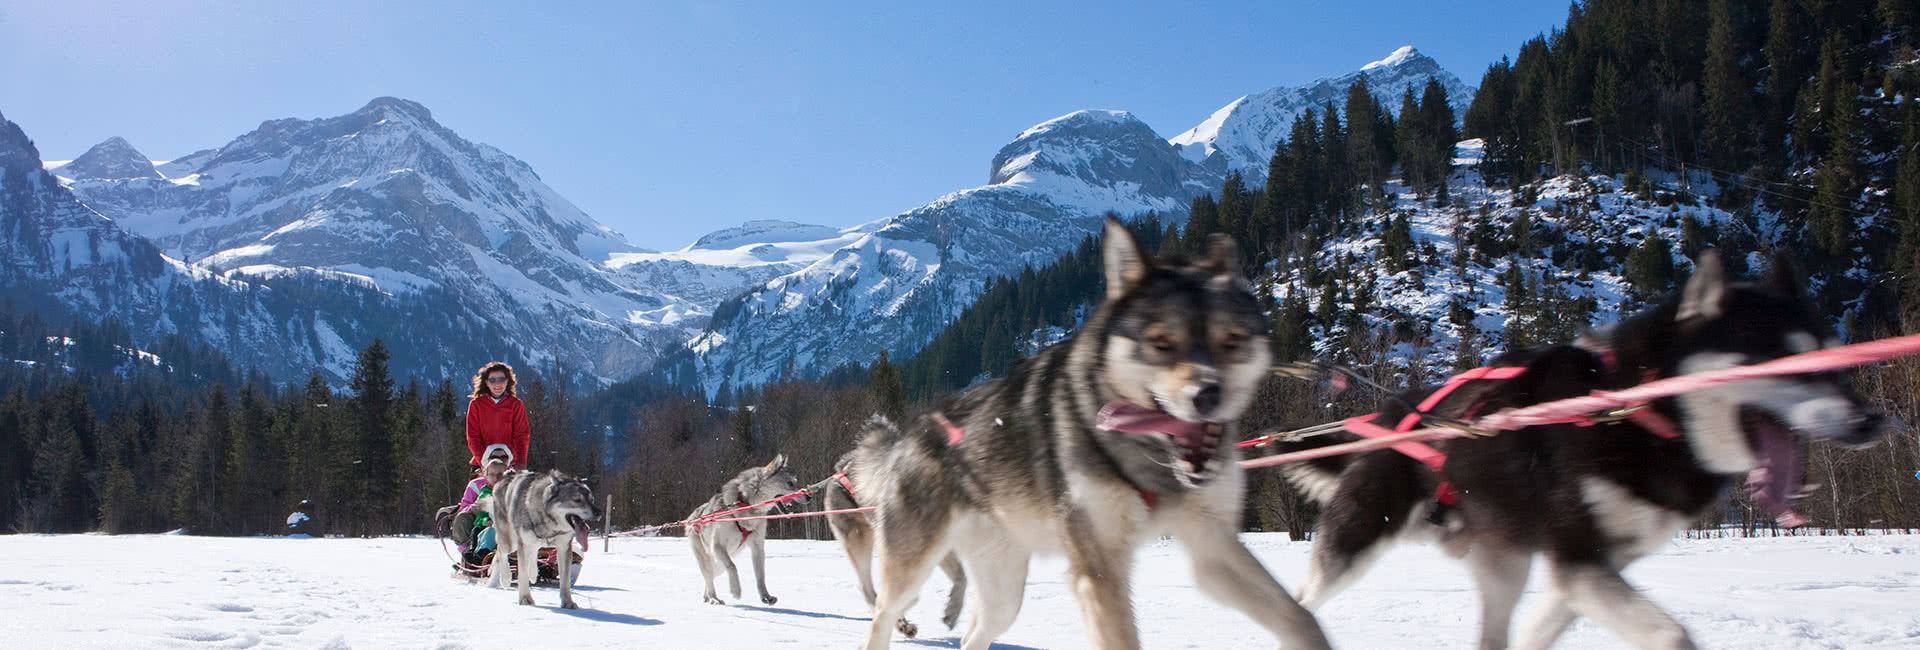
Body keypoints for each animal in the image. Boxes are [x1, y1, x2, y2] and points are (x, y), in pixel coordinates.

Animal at [480, 471, 599, 609]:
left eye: (592, 500)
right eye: (577, 500)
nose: (599, 512)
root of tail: (506, 476)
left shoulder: (564, 547)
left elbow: (565, 580)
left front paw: (567, 601)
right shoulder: (523, 544)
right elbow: (522, 574)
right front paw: (525, 598)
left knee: (533, 551)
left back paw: (533, 573)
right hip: (510, 541)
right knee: (500, 552)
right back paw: (505, 578)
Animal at [691, 456, 810, 609]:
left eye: (796, 482)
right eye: (790, 483)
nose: (809, 497)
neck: (746, 504)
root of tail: (692, 516)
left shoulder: (757, 548)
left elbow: (760, 576)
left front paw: (766, 597)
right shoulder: (717, 546)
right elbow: (733, 567)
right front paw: (736, 591)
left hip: (719, 564)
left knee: (710, 578)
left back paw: (707, 597)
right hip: (710, 558)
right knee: (709, 577)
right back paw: (714, 598)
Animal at [860, 220, 1328, 650]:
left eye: (1231, 339)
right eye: (1161, 343)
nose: (1208, 394)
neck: (1151, 461)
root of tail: (909, 436)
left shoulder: (1212, 547)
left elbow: (1301, 618)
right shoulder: (1099, 569)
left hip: (1003, 588)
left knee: (976, 633)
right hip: (913, 566)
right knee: (882, 617)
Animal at [1282, 251, 1881, 650]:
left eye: (1833, 354)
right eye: (1785, 357)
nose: (1870, 420)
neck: (1636, 409)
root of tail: (1393, 414)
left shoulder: (1593, 564)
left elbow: (1542, 632)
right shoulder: (1579, 559)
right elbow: (1672, 636)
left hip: (1505, 563)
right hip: (1359, 537)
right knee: (1301, 603)